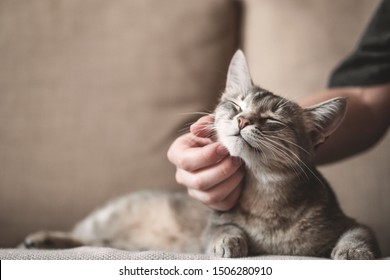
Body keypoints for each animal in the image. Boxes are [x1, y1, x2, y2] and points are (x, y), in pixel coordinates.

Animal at [22, 50, 380, 260]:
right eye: (236, 106)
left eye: (272, 121)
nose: (243, 120)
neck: (265, 198)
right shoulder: (215, 222)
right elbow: (223, 229)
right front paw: (229, 242)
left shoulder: (352, 223)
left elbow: (359, 234)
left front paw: (352, 252)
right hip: (106, 219)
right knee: (83, 235)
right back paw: (41, 238)